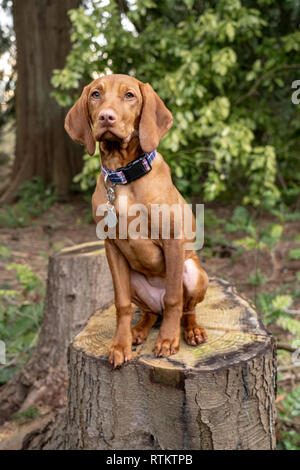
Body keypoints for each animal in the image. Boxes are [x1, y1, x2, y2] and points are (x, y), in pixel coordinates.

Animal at [65, 73, 209, 368]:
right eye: (95, 94)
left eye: (129, 95)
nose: (106, 117)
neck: (122, 176)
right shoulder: (111, 247)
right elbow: (121, 305)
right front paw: (120, 345)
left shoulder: (173, 240)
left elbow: (175, 297)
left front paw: (168, 340)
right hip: (133, 280)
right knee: (150, 312)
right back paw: (137, 332)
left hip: (193, 271)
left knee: (183, 308)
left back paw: (191, 331)